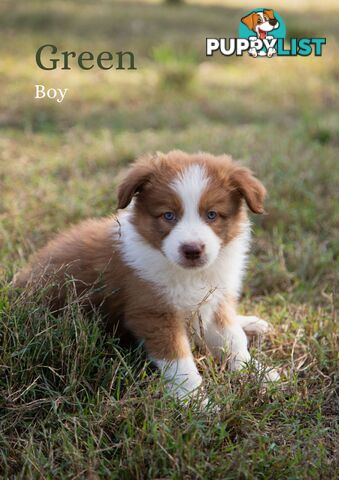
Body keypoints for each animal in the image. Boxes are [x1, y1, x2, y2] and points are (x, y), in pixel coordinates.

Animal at [14, 151, 280, 404]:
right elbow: (180, 361)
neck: (189, 274)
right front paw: (194, 400)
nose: (192, 250)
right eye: (168, 216)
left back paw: (250, 323)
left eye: (212, 215)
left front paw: (256, 373)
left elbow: (233, 340)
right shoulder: (153, 312)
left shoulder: (215, 299)